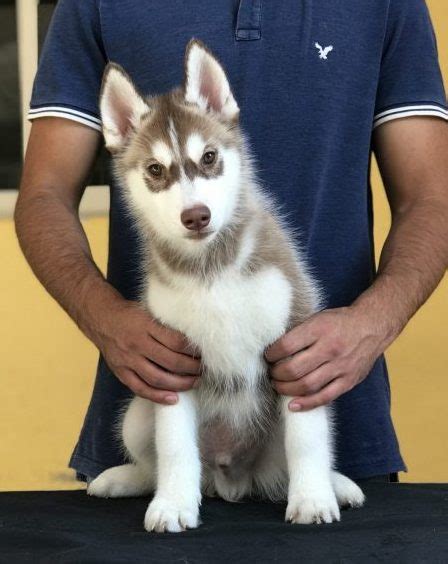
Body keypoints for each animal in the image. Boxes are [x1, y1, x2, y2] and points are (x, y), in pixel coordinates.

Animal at [87, 39, 364, 532]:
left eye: (210, 158)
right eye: (155, 170)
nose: (195, 216)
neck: (211, 270)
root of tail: (232, 479)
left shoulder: (296, 351)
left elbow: (306, 441)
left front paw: (313, 500)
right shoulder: (170, 364)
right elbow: (175, 446)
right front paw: (173, 505)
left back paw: (336, 485)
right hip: (137, 415)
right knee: (155, 459)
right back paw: (127, 479)